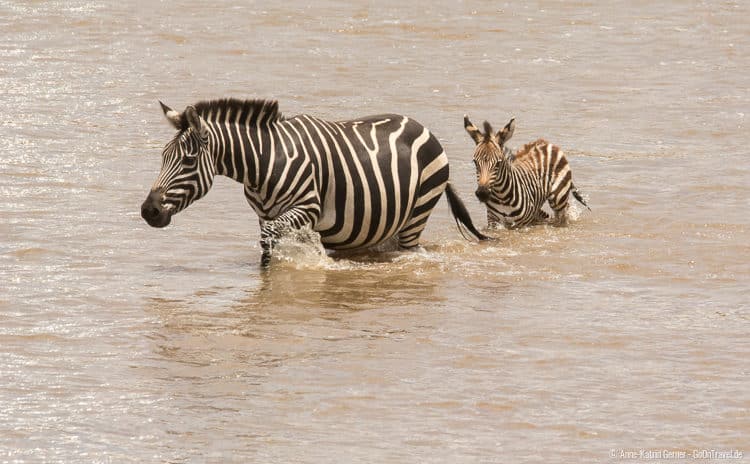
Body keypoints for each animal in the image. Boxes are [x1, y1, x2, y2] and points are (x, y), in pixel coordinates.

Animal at [144, 98, 490, 264]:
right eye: (162, 156)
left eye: (188, 160)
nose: (149, 211)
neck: (264, 162)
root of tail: (423, 127)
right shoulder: (264, 215)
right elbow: (269, 244)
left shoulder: (306, 208)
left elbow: (270, 241)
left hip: (416, 215)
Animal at [462, 117, 592, 229]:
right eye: (475, 162)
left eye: (498, 163)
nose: (482, 193)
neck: (501, 196)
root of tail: (547, 143)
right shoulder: (493, 221)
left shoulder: (521, 225)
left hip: (558, 198)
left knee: (562, 215)